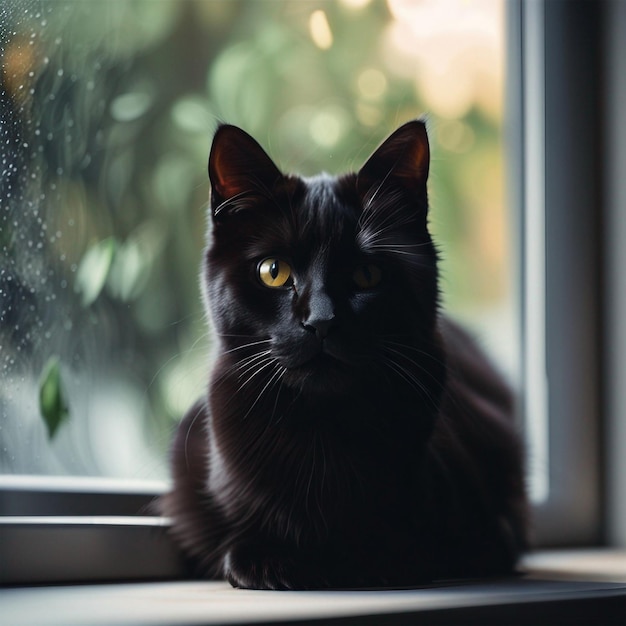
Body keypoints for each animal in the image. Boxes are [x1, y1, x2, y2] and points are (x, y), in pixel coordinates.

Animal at [162, 119, 528, 588]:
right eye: (273, 272)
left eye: (367, 274)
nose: (321, 321)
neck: (322, 434)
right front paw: (269, 560)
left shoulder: (492, 533)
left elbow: (408, 549)